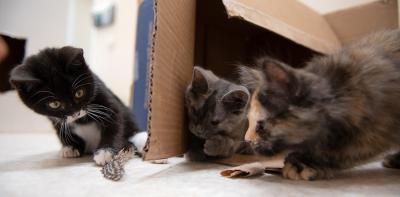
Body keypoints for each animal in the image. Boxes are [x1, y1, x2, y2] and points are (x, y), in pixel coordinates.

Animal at [9, 47, 143, 165]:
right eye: (54, 104)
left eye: (79, 93)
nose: (75, 113)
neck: (81, 120)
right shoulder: (54, 119)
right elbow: (60, 129)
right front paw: (70, 147)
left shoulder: (102, 93)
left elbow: (114, 121)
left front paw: (105, 152)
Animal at [239, 30, 400, 180]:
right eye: (249, 122)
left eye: (260, 126)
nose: (247, 139)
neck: (339, 93)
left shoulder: (377, 127)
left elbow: (348, 150)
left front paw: (304, 163)